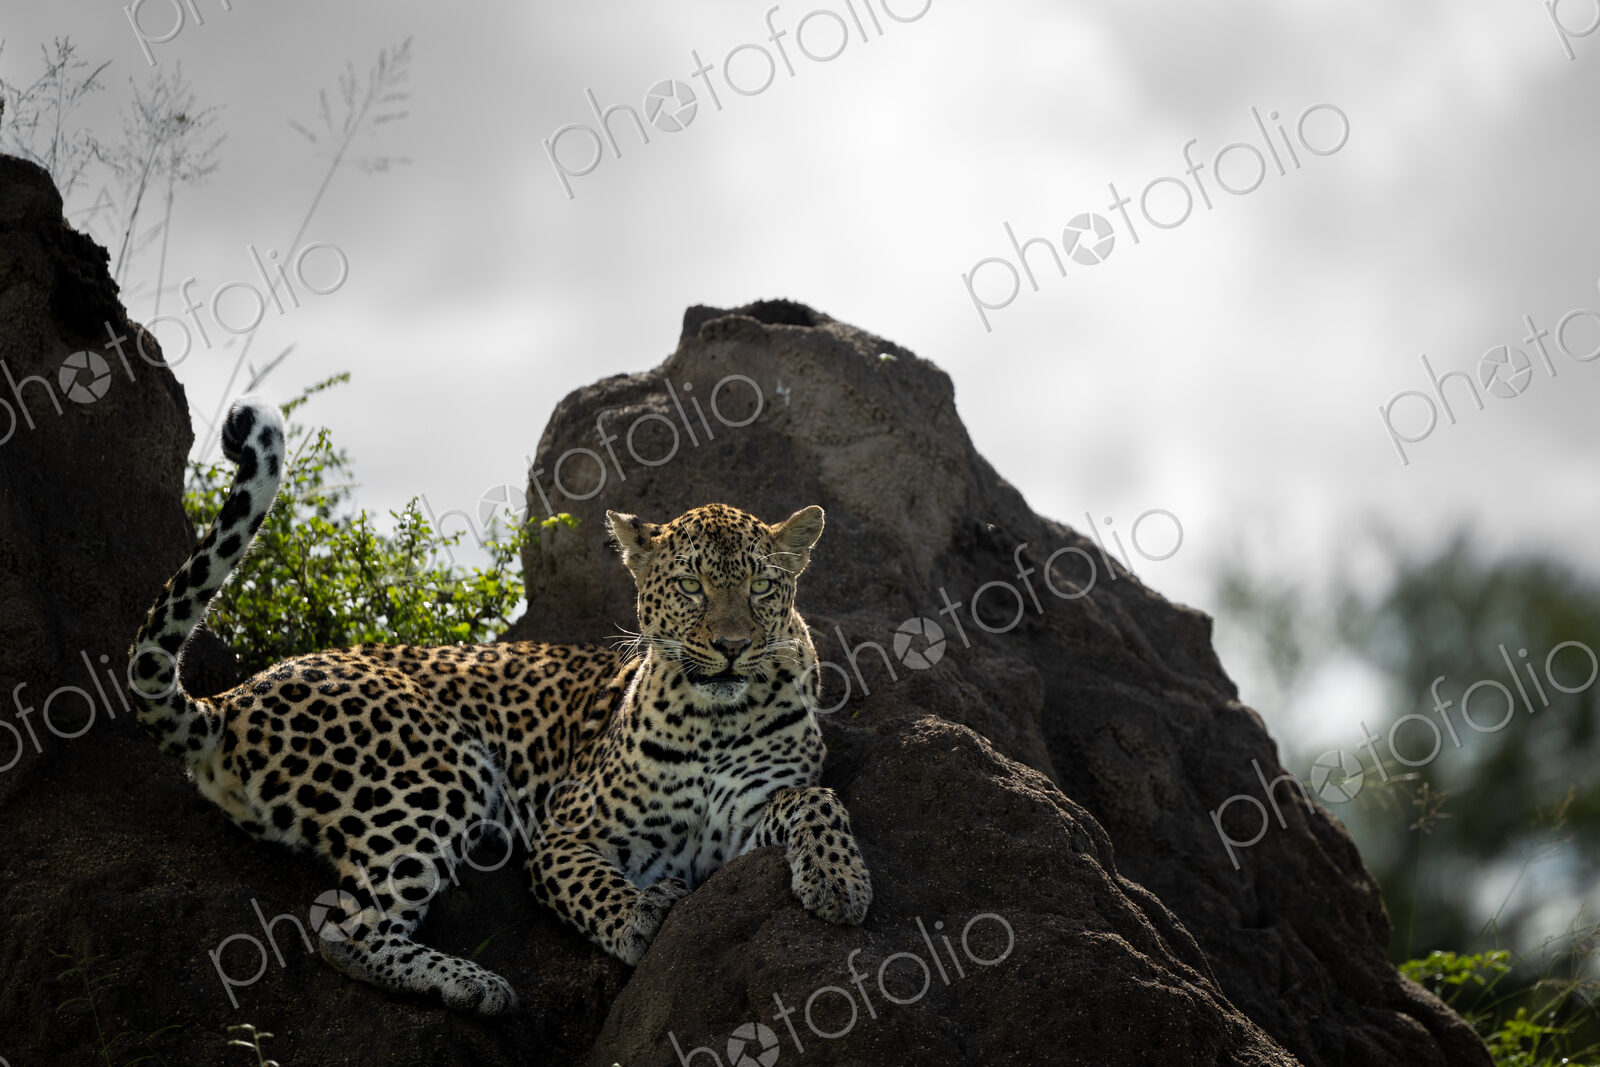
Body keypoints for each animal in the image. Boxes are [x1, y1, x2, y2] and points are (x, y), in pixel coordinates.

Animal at [127, 396, 871, 1015]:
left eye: (761, 587)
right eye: (691, 585)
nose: (732, 647)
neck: (715, 718)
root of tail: (232, 697)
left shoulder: (741, 823)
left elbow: (816, 799)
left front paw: (839, 882)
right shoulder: (566, 831)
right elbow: (598, 888)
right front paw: (640, 918)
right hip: (433, 768)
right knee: (344, 929)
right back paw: (477, 984)